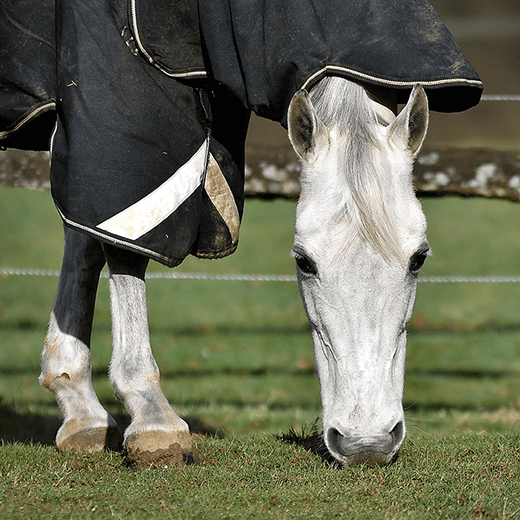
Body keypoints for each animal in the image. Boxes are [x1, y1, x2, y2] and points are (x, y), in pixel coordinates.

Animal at [38, 74, 430, 468]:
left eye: (419, 258)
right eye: (303, 261)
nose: (366, 444)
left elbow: (87, 231)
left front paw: (82, 401)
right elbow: (123, 240)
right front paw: (153, 419)